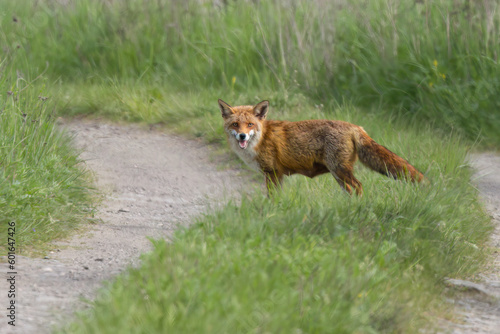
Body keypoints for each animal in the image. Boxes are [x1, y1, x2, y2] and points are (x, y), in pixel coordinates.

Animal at [219, 98, 426, 196]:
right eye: (235, 125)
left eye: (250, 125)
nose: (242, 136)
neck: (261, 139)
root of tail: (356, 127)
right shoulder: (276, 175)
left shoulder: (272, 173)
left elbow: (272, 198)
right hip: (338, 175)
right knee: (350, 190)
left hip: (340, 170)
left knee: (359, 186)